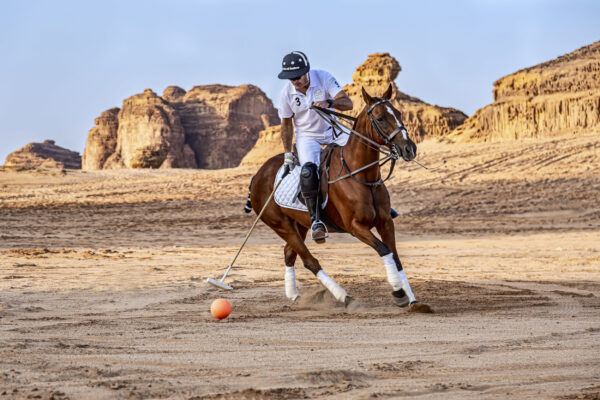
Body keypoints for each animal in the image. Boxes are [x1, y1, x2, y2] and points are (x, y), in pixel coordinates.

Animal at [247, 84, 422, 310]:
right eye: (381, 118)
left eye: (399, 113)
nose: (410, 149)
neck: (361, 174)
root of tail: (257, 175)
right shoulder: (355, 226)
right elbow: (384, 250)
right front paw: (399, 293)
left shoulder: (385, 222)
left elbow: (396, 256)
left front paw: (413, 300)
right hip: (281, 225)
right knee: (309, 260)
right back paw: (344, 297)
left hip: (300, 224)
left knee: (289, 254)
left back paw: (295, 296)